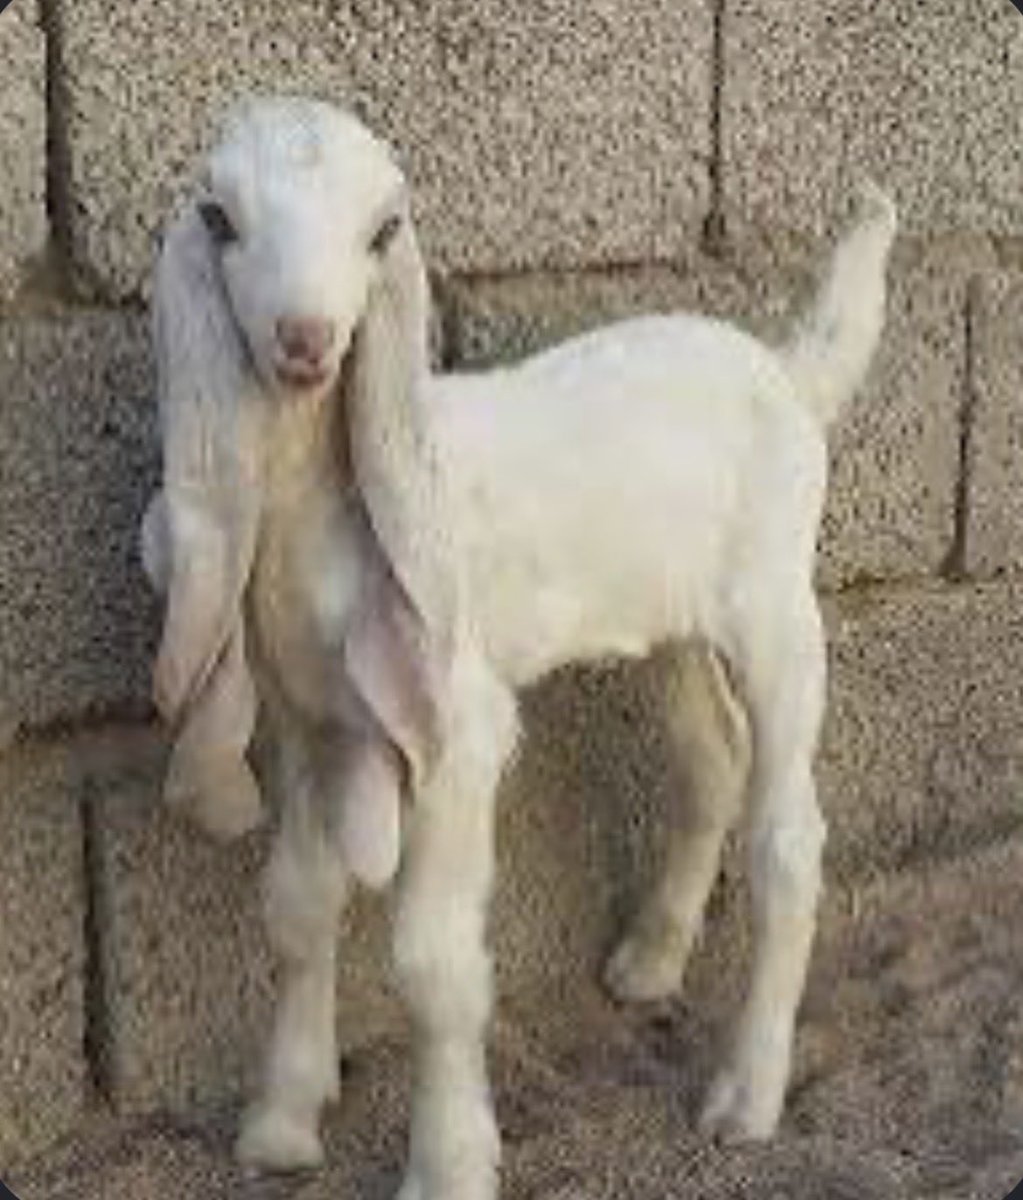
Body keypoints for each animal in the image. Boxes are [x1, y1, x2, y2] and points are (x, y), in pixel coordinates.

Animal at [141, 95, 897, 1200]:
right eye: (219, 217)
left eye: (383, 231)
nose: (306, 341)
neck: (321, 512)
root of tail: (788, 374)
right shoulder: (308, 720)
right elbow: (296, 908)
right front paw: (280, 1121)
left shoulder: (454, 727)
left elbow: (433, 964)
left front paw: (449, 1162)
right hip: (669, 619)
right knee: (709, 758)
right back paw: (650, 964)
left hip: (775, 607)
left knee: (788, 838)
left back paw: (744, 1096)